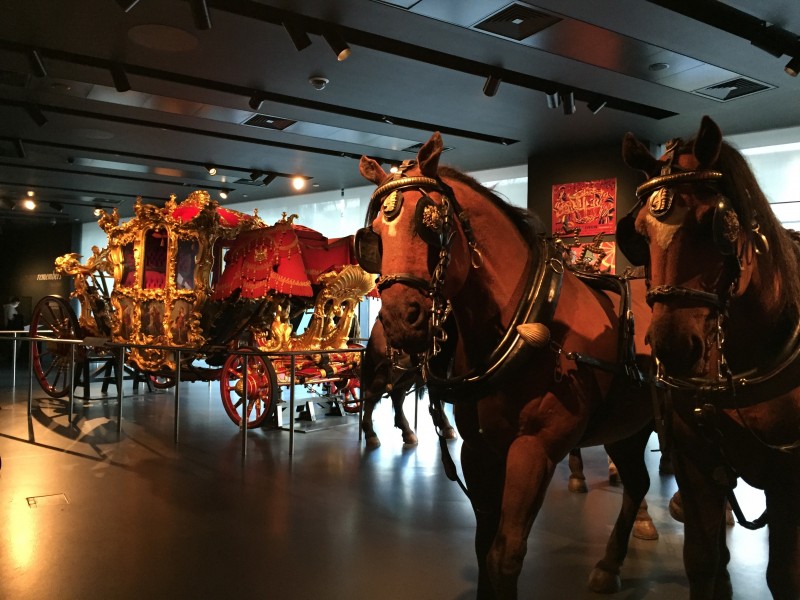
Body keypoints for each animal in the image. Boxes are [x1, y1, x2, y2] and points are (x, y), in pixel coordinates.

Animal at [360, 316, 454, 448]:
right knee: (372, 396)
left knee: (398, 396)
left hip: (405, 372)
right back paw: (370, 434)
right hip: (390, 371)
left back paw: (407, 431)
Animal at [620, 113, 796, 600]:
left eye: (714, 224)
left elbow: (783, 576)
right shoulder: (697, 465)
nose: (673, 349)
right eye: (638, 234)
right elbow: (702, 561)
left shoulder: (788, 478)